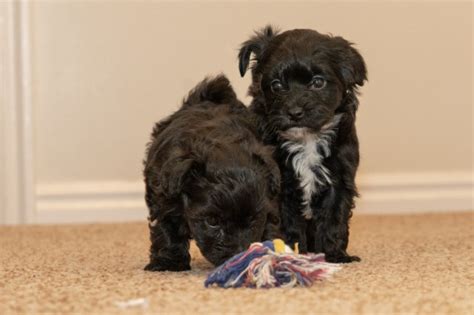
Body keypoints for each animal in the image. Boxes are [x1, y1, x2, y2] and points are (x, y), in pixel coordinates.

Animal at [143, 74, 280, 272]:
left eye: (253, 219)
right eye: (212, 222)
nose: (236, 254)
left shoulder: (268, 202)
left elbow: (269, 223)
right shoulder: (164, 197)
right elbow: (167, 228)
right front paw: (168, 262)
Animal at [239, 26, 368, 264]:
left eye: (318, 82)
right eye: (277, 85)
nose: (295, 112)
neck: (307, 139)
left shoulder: (338, 180)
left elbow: (334, 219)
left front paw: (335, 255)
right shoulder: (280, 186)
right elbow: (287, 222)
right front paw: (292, 253)